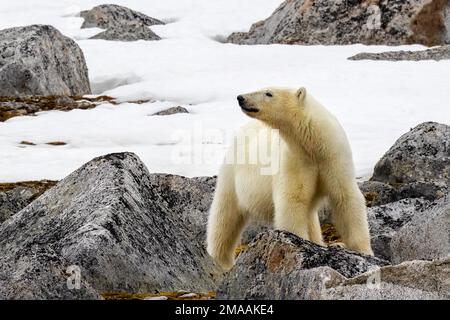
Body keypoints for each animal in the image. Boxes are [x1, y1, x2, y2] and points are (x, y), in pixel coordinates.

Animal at [207, 87, 372, 270]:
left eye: (269, 93)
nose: (241, 98)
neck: (313, 146)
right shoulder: (294, 161)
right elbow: (293, 201)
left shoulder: (334, 158)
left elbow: (346, 198)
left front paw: (365, 252)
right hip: (233, 173)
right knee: (224, 216)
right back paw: (220, 261)